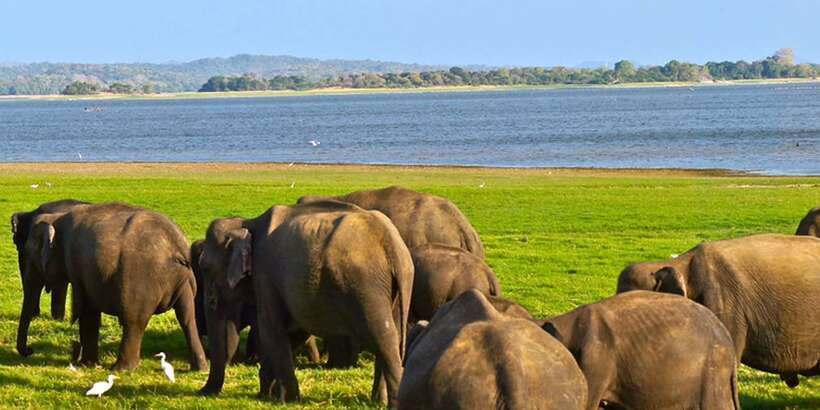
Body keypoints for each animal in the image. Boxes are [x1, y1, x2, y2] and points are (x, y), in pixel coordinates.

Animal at [17, 202, 207, 371]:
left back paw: (121, 369)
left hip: (142, 280)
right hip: (185, 279)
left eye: (29, 254)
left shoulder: (76, 265)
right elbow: (90, 312)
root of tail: (176, 245)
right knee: (187, 317)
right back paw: (200, 368)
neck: (56, 217)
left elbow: (86, 311)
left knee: (134, 320)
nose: (30, 350)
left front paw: (87, 365)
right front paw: (89, 364)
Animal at [196, 200, 413, 406]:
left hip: (365, 284)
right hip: (395, 288)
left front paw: (286, 399)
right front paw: (267, 394)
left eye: (205, 267)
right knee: (393, 333)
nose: (202, 393)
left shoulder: (265, 274)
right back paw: (379, 400)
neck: (246, 223)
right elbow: (292, 332)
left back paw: (393, 402)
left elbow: (271, 330)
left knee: (384, 337)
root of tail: (392, 245)